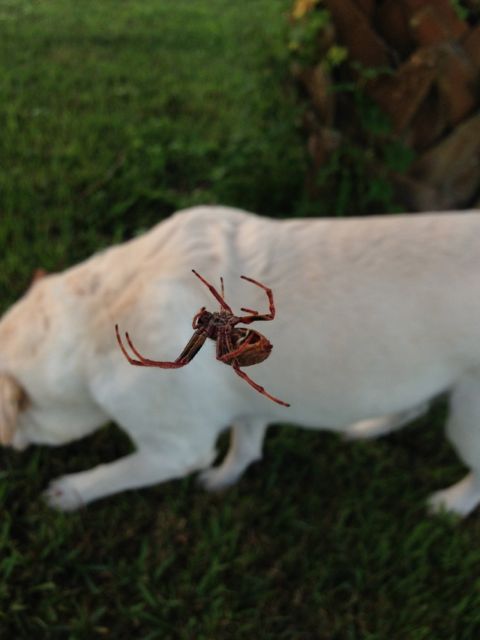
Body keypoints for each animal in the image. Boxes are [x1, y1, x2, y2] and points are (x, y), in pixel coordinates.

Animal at [0, 205, 480, 516]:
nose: (10, 447)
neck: (105, 304)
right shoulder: (241, 397)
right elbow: (246, 440)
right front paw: (225, 479)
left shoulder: (177, 447)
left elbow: (116, 473)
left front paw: (69, 492)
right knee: (414, 402)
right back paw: (369, 427)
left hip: (468, 418)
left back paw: (450, 505)